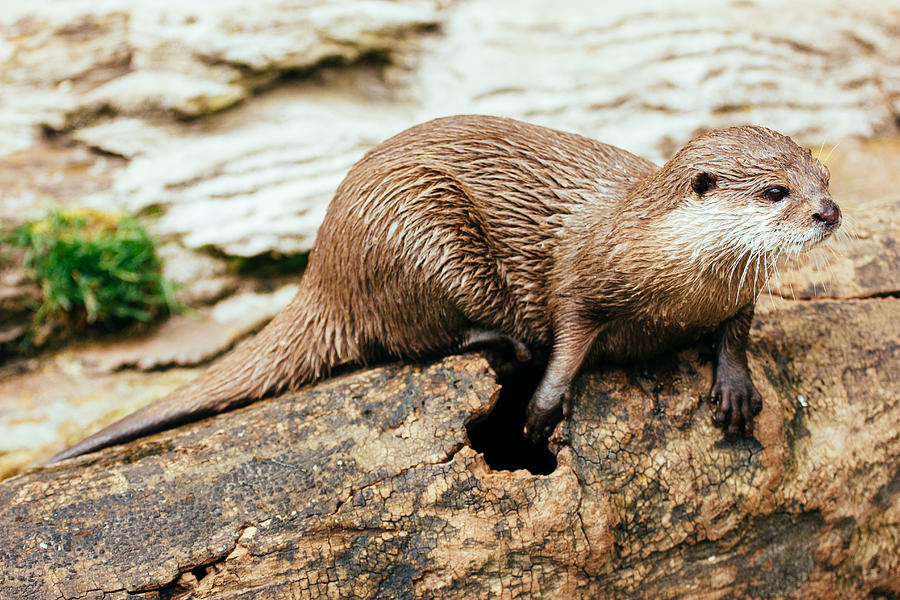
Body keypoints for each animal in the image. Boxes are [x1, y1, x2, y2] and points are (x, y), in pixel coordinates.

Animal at [49, 117, 840, 464]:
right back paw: (504, 345)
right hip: (416, 232)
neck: (671, 274)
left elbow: (738, 327)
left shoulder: (731, 294)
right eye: (776, 193)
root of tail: (322, 271)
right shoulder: (586, 274)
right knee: (404, 340)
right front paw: (544, 404)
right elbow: (571, 330)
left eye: (823, 176)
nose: (829, 212)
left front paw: (733, 386)